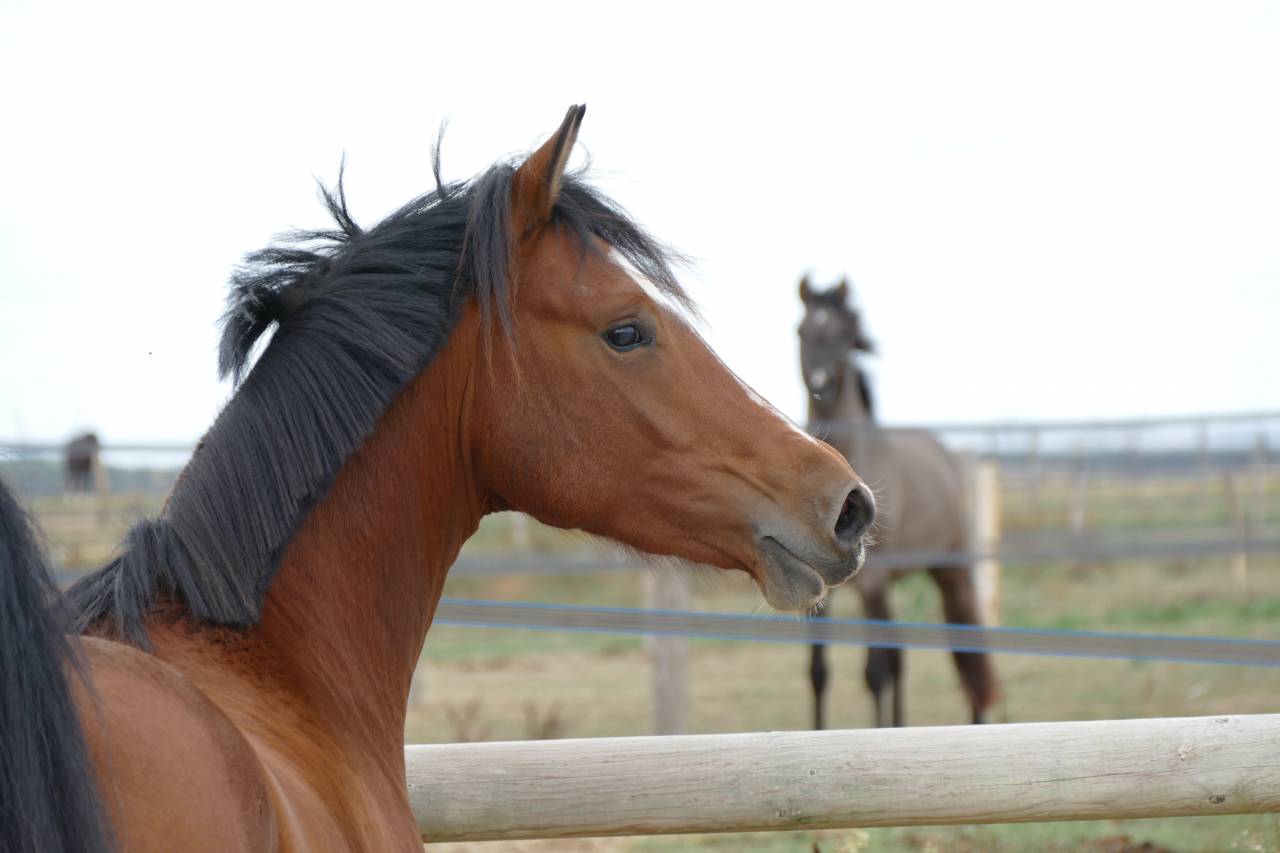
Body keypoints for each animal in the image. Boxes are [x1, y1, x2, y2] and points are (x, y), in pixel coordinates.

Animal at [799, 276, 998, 729]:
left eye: (844, 336)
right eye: (801, 331)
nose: (819, 385)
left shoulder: (873, 583)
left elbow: (874, 673)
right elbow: (819, 672)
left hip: (950, 573)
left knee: (966, 656)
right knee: (900, 656)